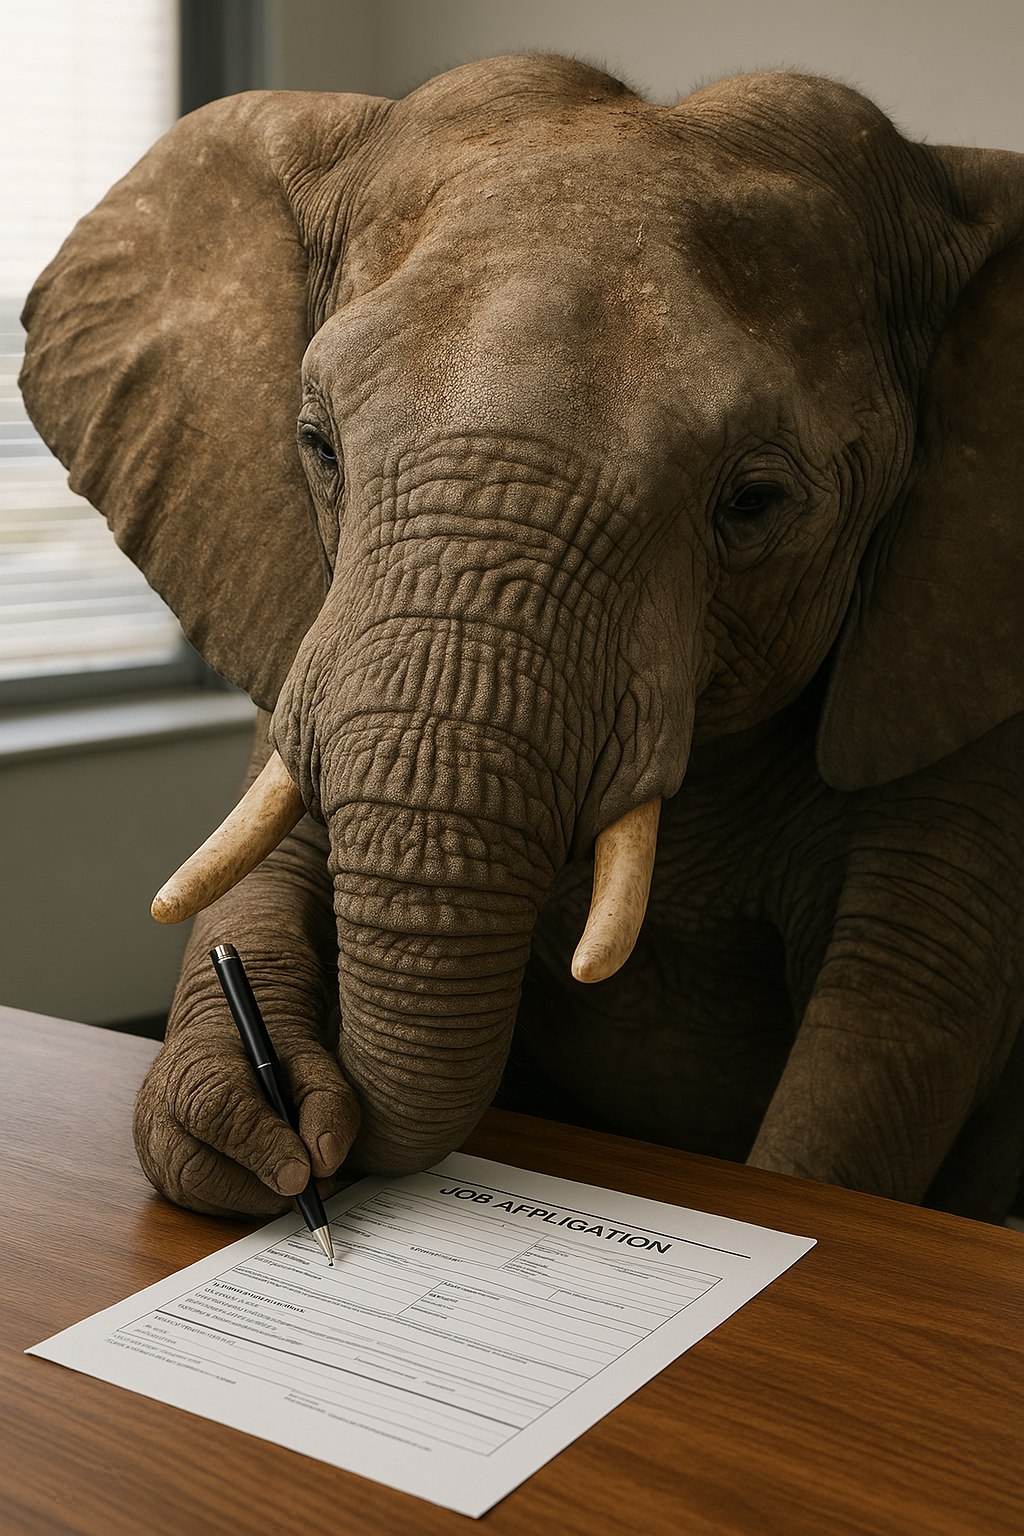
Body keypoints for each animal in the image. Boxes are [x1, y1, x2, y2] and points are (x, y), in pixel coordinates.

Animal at [20, 53, 1024, 1224]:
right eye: (317, 445)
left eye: (755, 503)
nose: (331, 1148)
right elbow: (274, 850)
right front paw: (252, 1130)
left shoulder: (958, 650)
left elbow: (897, 1010)